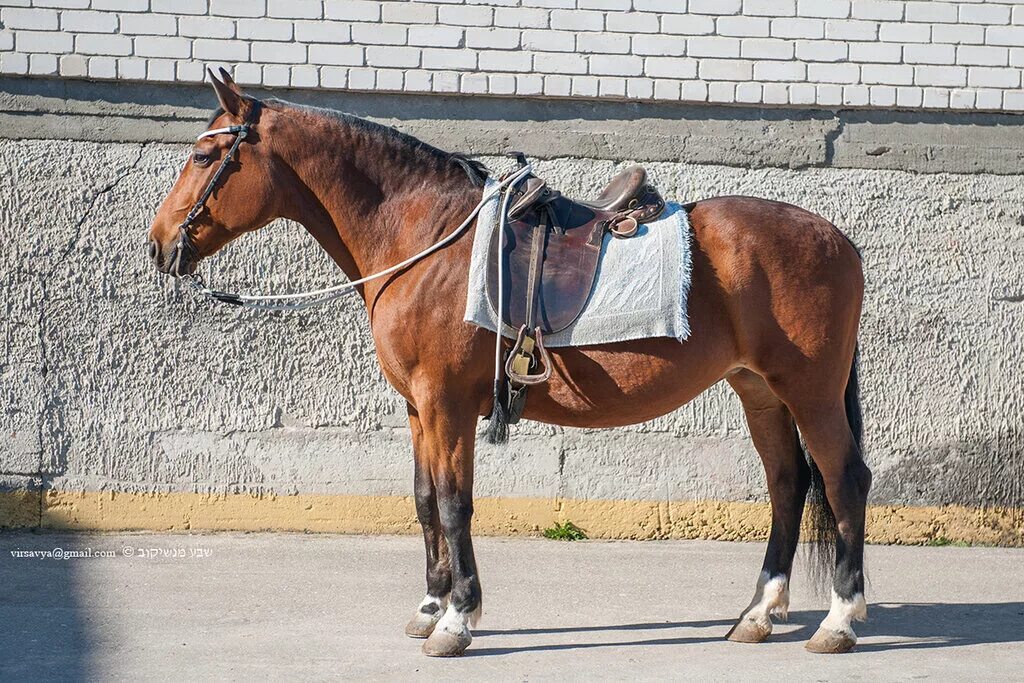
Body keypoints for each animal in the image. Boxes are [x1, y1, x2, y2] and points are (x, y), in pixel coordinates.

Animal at [148, 73, 868, 655]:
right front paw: (430, 604)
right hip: (759, 390)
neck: (426, 239)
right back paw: (759, 613)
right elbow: (423, 500)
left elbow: (453, 502)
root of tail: (839, 239)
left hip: (809, 390)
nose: (158, 244)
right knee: (787, 483)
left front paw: (457, 620)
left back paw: (838, 619)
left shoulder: (446, 403)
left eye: (205, 154)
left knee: (842, 480)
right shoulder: (418, 408)